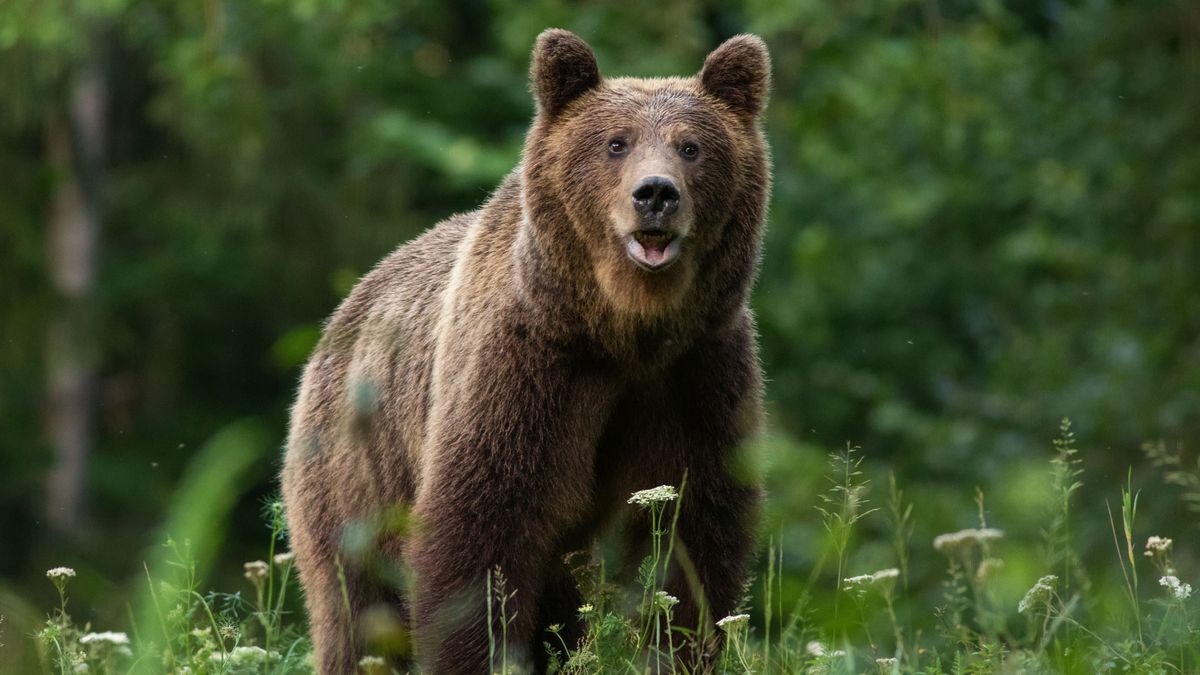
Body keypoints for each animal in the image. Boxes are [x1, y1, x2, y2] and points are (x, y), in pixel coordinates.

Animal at [279, 28, 768, 667]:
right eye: (616, 143)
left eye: (691, 147)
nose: (656, 194)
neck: (623, 330)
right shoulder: (528, 366)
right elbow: (483, 528)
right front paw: (481, 653)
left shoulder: (696, 374)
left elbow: (693, 535)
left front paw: (677, 648)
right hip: (354, 465)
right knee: (355, 606)